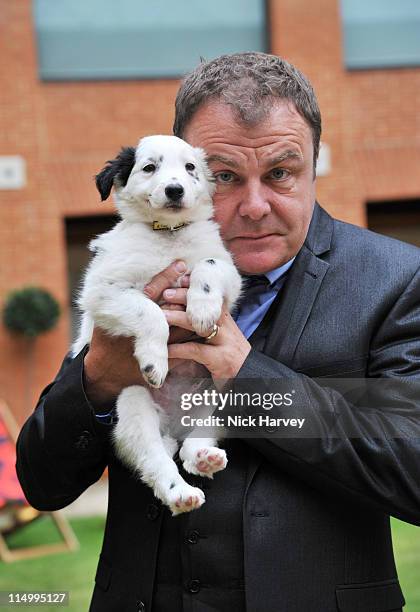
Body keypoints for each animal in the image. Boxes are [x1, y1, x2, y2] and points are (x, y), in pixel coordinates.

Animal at [72, 136, 241, 512]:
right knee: (155, 461)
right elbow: (150, 312)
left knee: (194, 441)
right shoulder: (102, 291)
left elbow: (207, 266)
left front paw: (203, 311)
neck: (168, 235)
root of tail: (173, 428)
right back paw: (180, 493)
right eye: (149, 168)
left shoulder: (229, 271)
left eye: (190, 168)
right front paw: (155, 360)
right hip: (133, 404)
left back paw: (204, 457)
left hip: (216, 396)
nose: (175, 190)